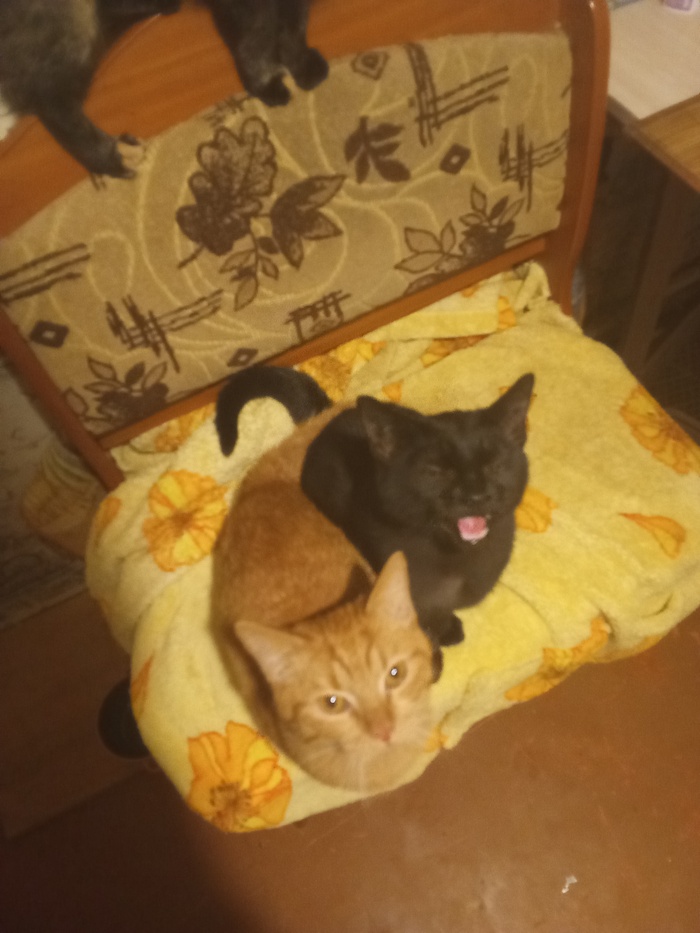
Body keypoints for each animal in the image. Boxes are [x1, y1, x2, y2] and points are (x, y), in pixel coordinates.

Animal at [0, 0, 328, 177]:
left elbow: (293, 27)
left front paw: (302, 66)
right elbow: (256, 36)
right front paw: (264, 83)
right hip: (70, 24)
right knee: (47, 98)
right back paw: (114, 156)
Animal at [215, 366, 534, 649]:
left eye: (494, 465)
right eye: (437, 471)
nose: (476, 495)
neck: (457, 559)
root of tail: (326, 415)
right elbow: (425, 613)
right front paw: (444, 634)